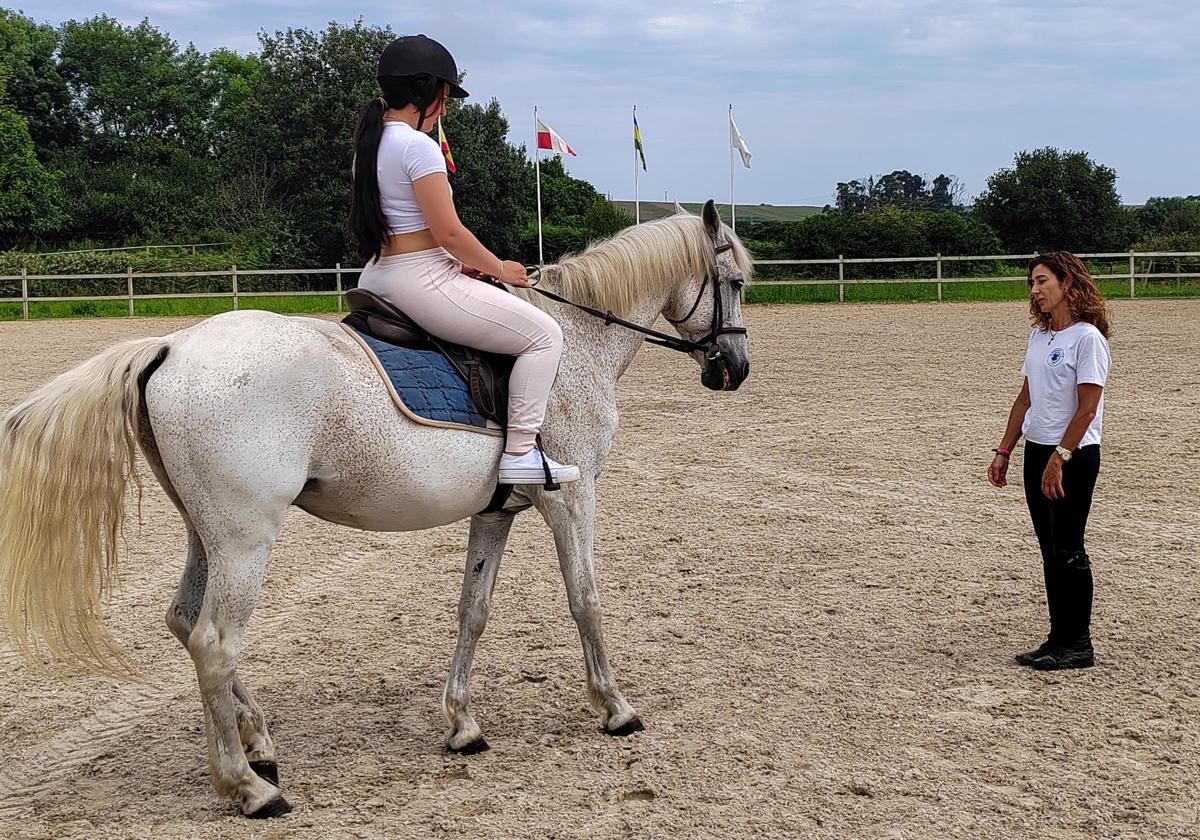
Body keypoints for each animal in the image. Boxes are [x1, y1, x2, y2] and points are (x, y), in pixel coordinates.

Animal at [0, 200, 748, 816]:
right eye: (736, 281)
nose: (733, 370)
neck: (575, 339)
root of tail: (169, 345)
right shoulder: (572, 498)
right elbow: (585, 599)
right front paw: (616, 708)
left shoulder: (496, 512)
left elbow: (473, 611)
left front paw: (462, 724)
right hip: (245, 538)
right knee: (215, 640)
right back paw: (249, 787)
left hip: (203, 532)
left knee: (184, 622)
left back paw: (260, 742)